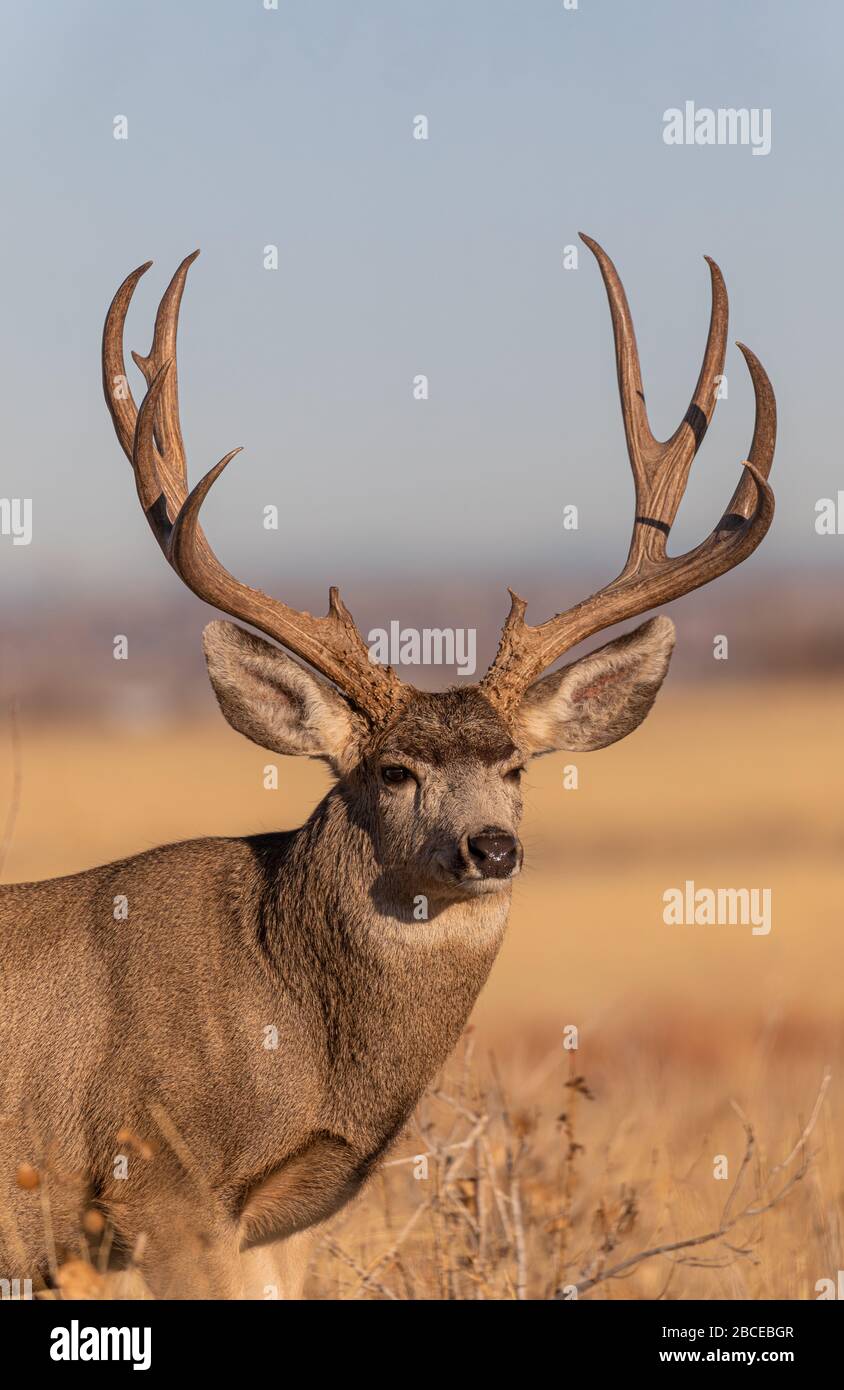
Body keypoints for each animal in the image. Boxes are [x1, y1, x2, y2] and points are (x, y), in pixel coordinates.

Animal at [0, 235, 776, 1299]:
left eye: (517, 767)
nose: (491, 847)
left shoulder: (280, 1218)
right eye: (395, 771)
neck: (289, 1014)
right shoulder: (154, 1181)